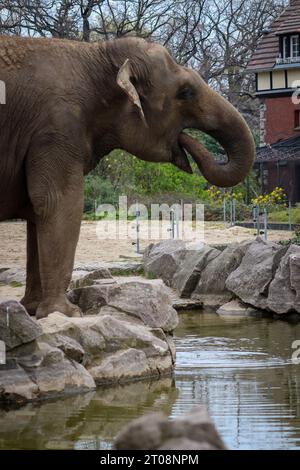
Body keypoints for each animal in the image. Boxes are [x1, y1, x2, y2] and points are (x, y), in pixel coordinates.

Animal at [0, 35, 255, 318]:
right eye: (185, 92)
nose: (187, 141)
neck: (97, 55)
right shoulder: (57, 129)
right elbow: (59, 202)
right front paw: (66, 313)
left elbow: (37, 212)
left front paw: (34, 310)